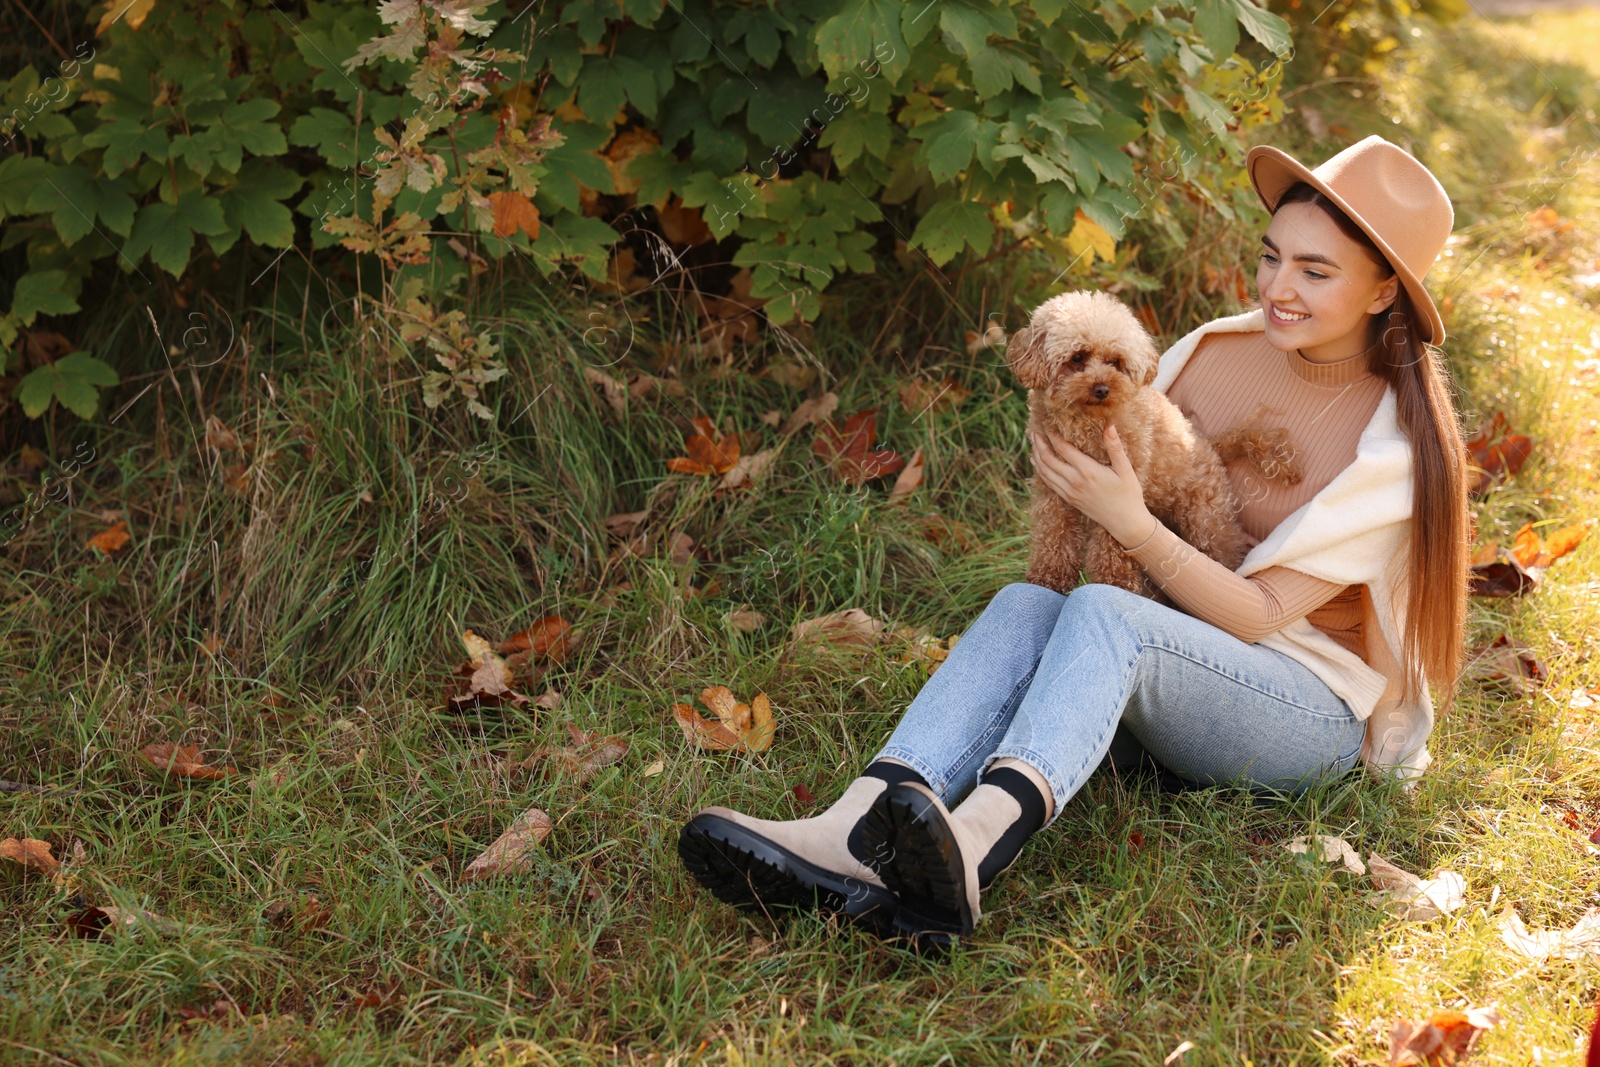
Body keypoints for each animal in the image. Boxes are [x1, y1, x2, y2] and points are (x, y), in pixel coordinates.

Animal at [1011, 292, 1299, 604]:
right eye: (1077, 357)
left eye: (1115, 361)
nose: (1102, 389)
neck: (1084, 419)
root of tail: (1207, 444)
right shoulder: (1052, 490)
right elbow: (1053, 533)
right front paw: (1048, 576)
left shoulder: (1121, 490)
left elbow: (1112, 542)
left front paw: (1115, 583)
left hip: (1206, 519)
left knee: (1223, 555)